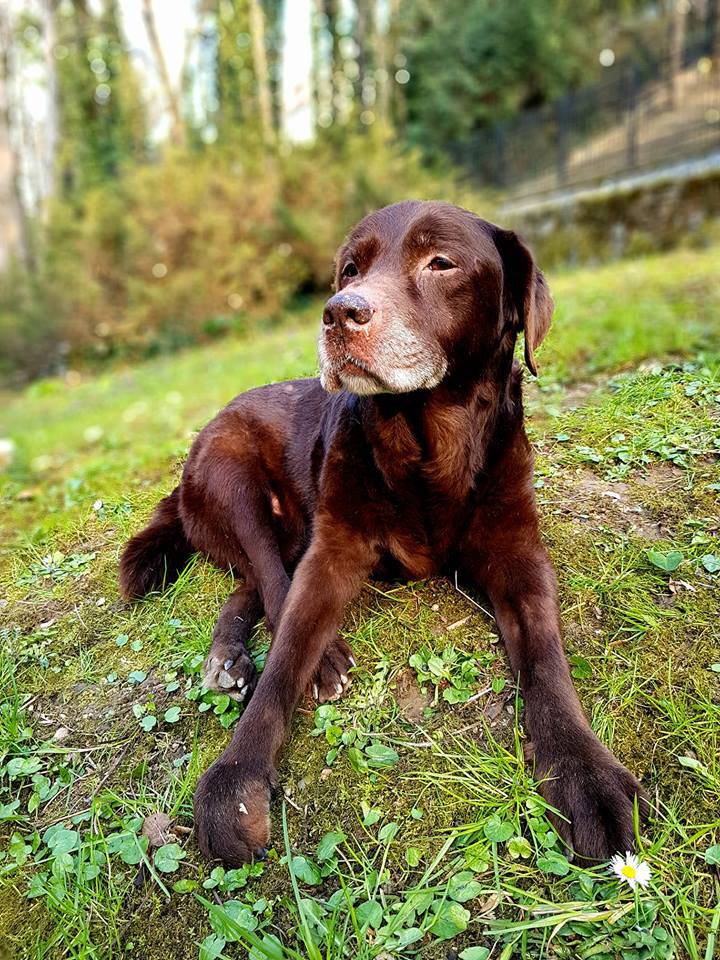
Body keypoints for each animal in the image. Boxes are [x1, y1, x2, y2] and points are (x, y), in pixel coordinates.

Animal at [119, 201, 648, 864]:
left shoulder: (518, 554)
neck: (426, 445)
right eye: (350, 269)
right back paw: (309, 658)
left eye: (441, 263)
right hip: (233, 476)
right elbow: (286, 651)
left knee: (249, 585)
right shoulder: (334, 549)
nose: (339, 312)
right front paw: (236, 776)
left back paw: (230, 656)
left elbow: (547, 657)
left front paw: (584, 771)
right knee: (268, 573)